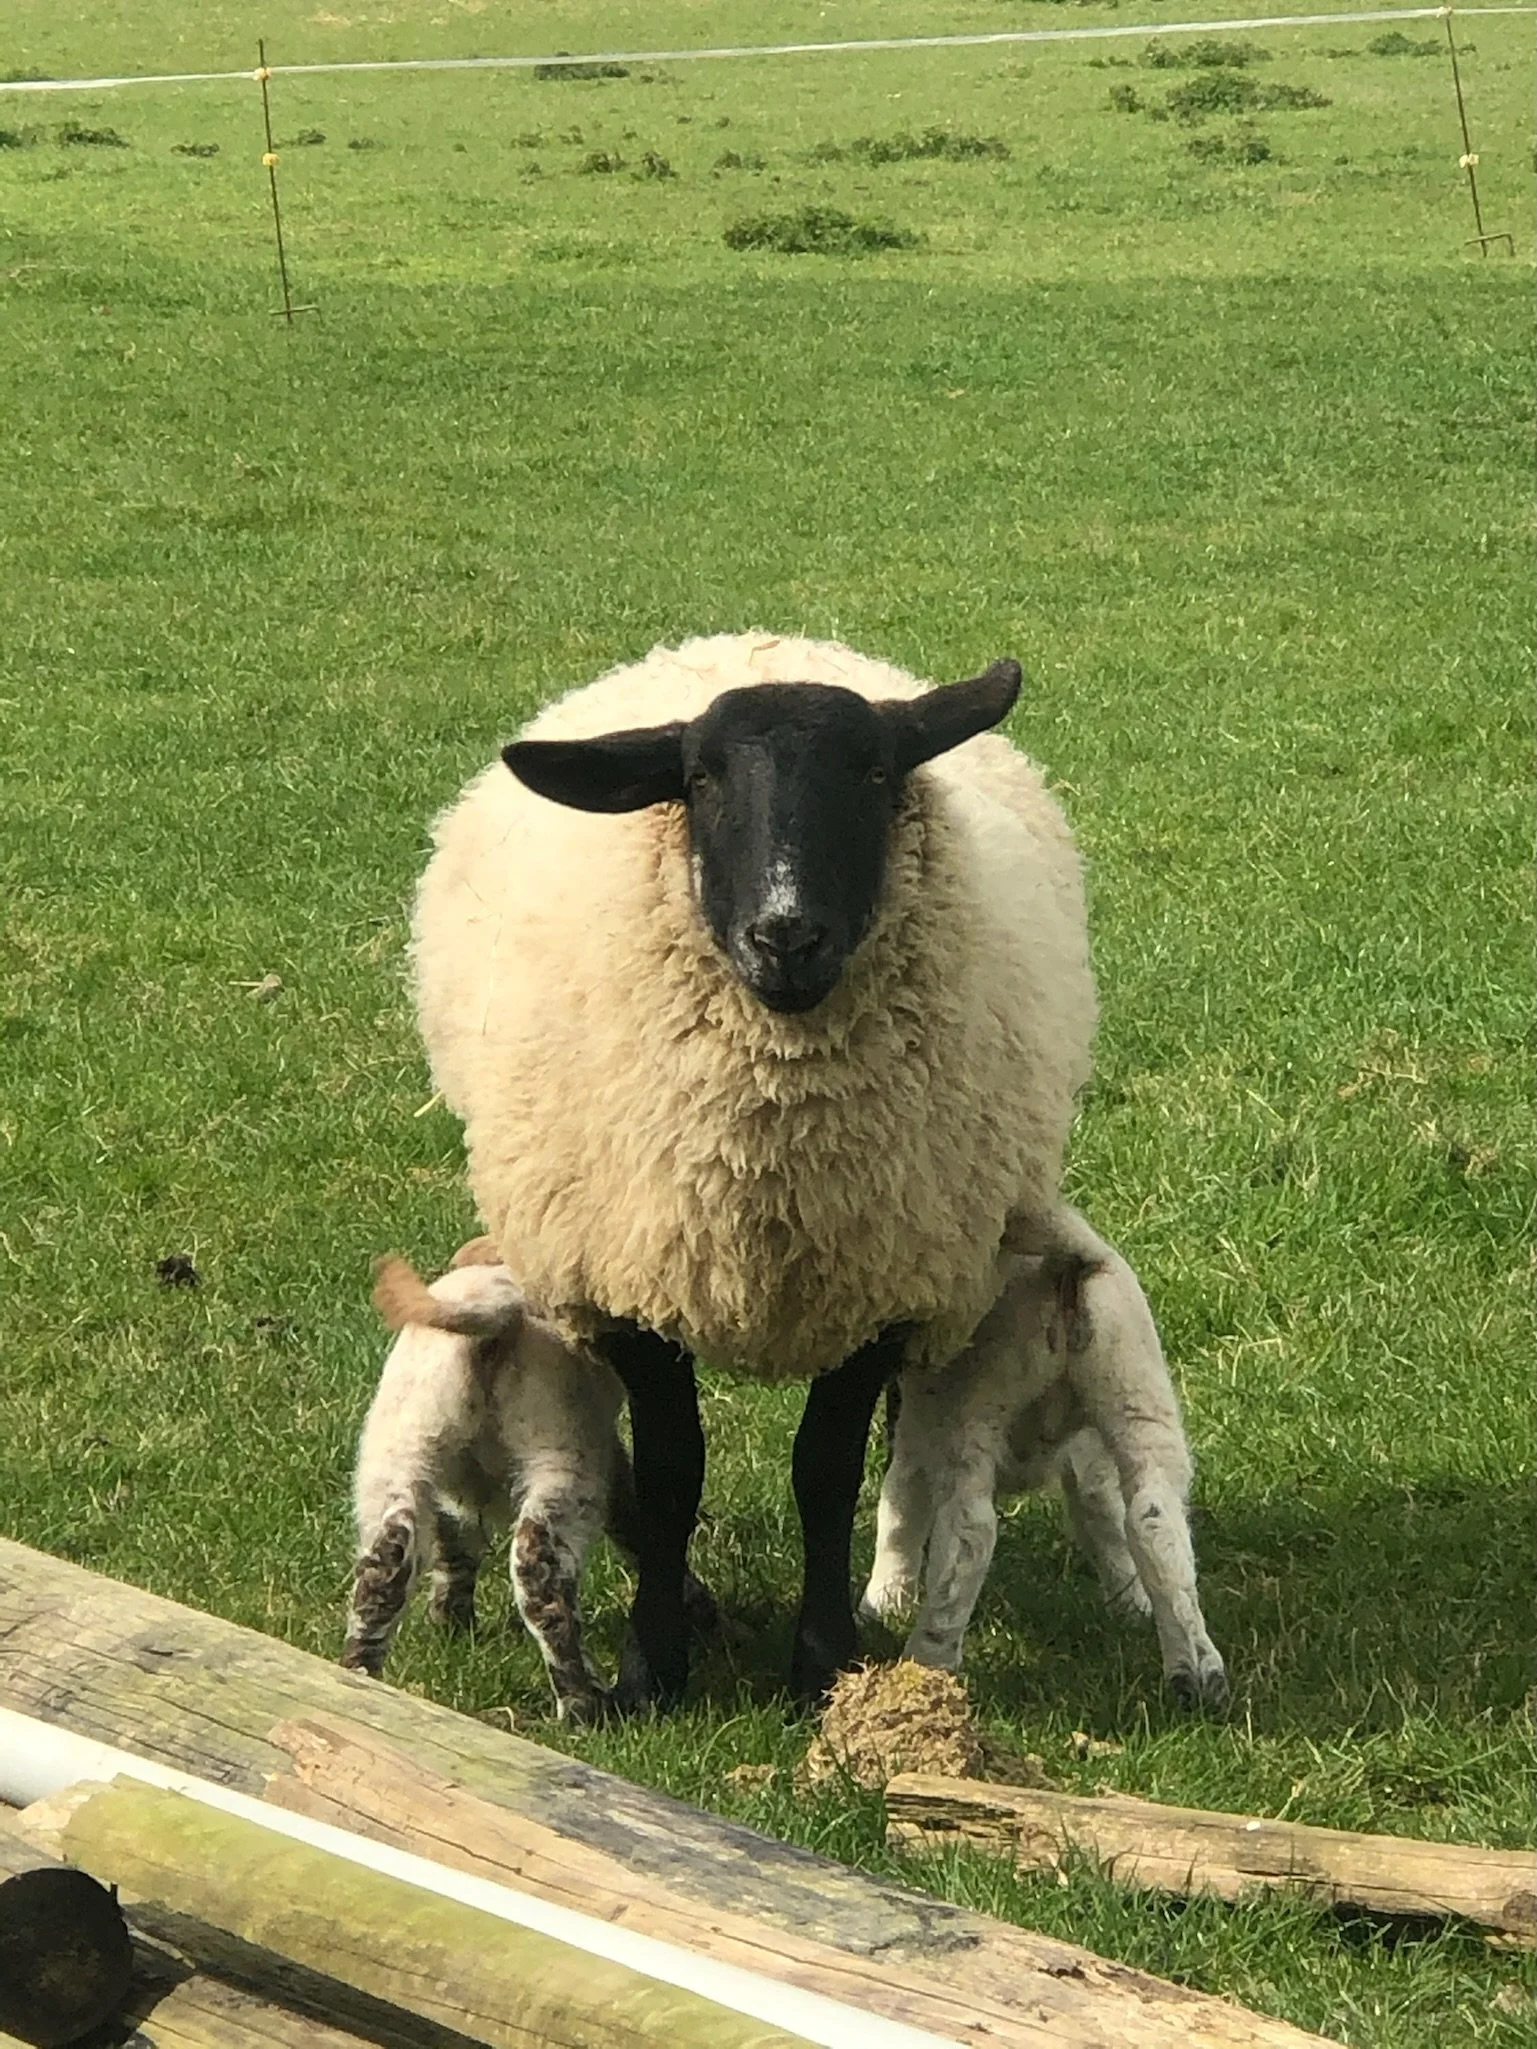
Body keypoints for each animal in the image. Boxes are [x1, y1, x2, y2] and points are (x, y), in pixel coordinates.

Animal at [342, 1249, 665, 1721]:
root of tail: (495, 1318)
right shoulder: (606, 1453)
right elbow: (634, 1521)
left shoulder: (452, 1494)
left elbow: (454, 1547)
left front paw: (450, 1622)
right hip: (563, 1455)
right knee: (538, 1572)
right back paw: (584, 1705)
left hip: (400, 1446)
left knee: (385, 1564)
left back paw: (359, 1675)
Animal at [412, 633, 1098, 1708]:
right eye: (699, 779)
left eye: (872, 771)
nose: (786, 934)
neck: (770, 1159)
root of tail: (752, 642)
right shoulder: (637, 1286)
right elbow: (672, 1472)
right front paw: (653, 1663)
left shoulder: (879, 1286)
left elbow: (823, 1469)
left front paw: (820, 1659)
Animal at [860, 1205, 1228, 1708]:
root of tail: (1063, 1269)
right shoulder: (1086, 1451)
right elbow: (1102, 1513)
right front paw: (1130, 1602)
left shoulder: (919, 1435)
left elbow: (899, 1512)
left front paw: (883, 1602)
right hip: (1135, 1385)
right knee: (1155, 1521)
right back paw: (1197, 1670)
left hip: (975, 1402)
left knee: (969, 1533)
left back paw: (930, 1655)